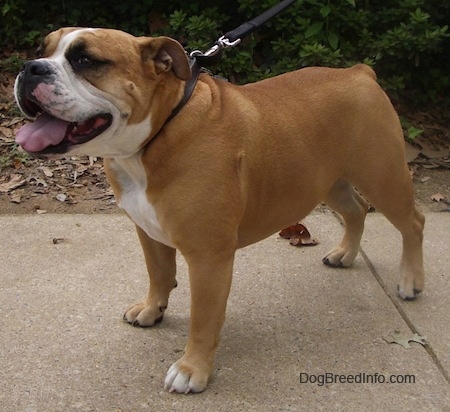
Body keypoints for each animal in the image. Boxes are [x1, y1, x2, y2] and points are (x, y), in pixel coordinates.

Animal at [13, 28, 422, 392]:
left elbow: (203, 319)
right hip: (327, 182)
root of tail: (359, 72)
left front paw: (192, 370)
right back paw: (346, 254)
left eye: (86, 60)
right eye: (41, 49)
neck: (158, 133)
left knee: (412, 223)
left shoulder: (208, 259)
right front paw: (152, 309)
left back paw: (410, 281)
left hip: (383, 177)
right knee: (356, 210)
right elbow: (159, 274)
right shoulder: (148, 230)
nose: (30, 67)